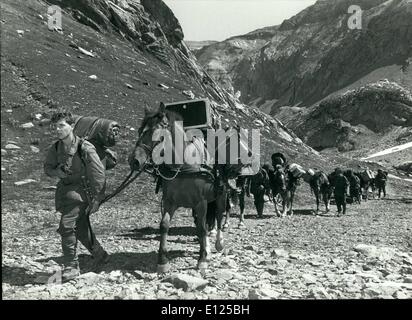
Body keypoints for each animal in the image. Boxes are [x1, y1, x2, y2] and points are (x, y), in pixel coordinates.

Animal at [129, 104, 229, 272]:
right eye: (139, 130)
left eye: (156, 132)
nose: (134, 161)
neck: (183, 165)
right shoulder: (170, 202)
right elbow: (164, 225)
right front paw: (162, 261)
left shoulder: (201, 202)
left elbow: (202, 229)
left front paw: (202, 260)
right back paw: (207, 248)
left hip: (220, 196)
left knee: (219, 217)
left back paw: (219, 244)